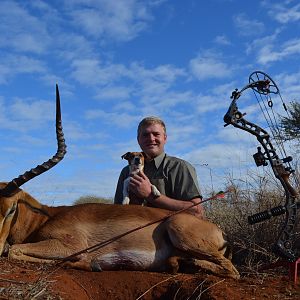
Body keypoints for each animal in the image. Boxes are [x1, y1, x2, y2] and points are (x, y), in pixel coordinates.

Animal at [0, 86, 240, 278]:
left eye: (12, 209)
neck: (46, 216)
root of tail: (219, 231)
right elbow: (13, 249)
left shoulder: (69, 246)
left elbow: (14, 250)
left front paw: (88, 263)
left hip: (179, 229)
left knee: (232, 271)